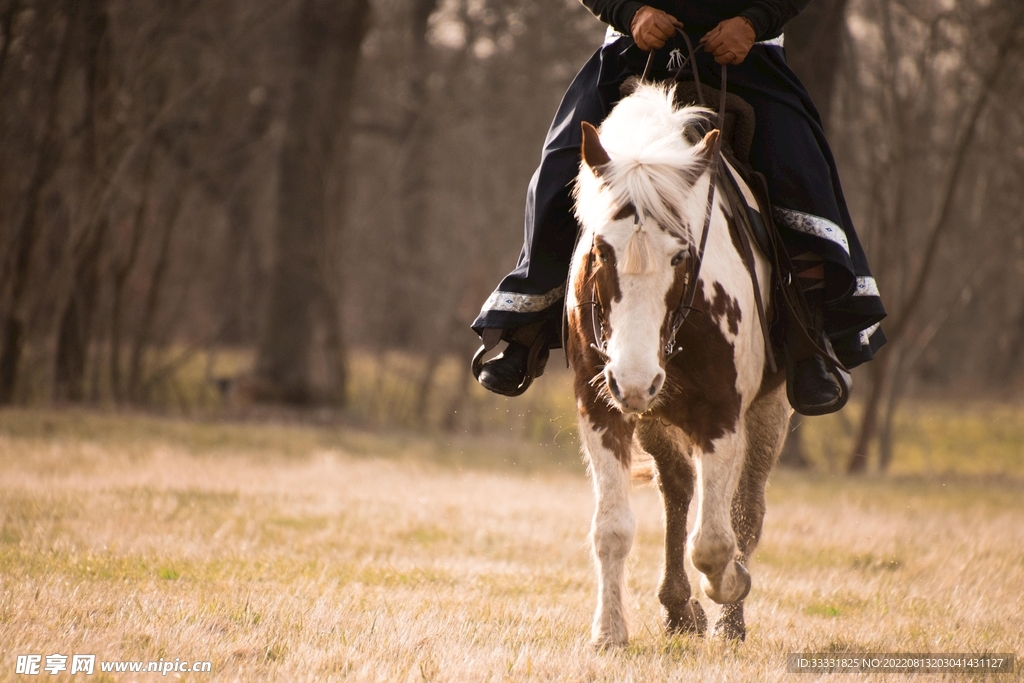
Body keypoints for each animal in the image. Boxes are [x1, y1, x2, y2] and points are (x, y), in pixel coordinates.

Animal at [566, 82, 790, 647]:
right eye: (601, 250)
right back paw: (677, 607)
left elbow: (714, 540)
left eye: (681, 255)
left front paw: (731, 586)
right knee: (678, 489)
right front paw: (609, 632)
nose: (635, 380)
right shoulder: (601, 409)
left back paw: (729, 623)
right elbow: (612, 528)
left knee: (745, 510)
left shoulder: (722, 416)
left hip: (768, 413)